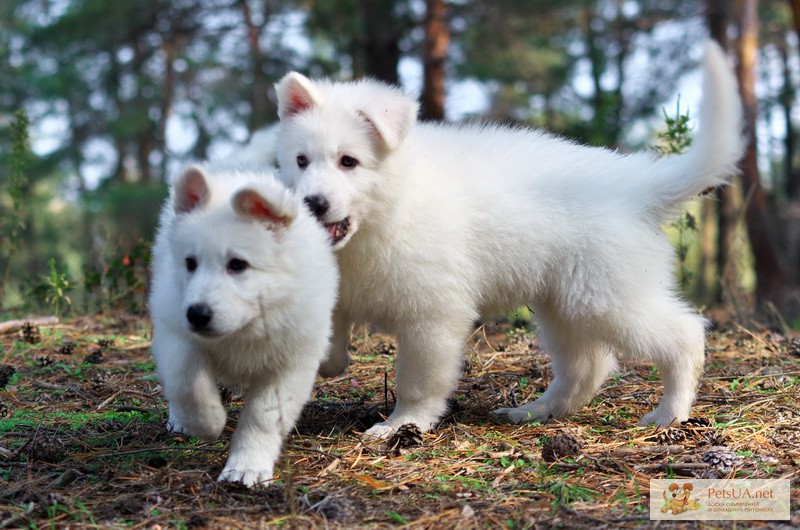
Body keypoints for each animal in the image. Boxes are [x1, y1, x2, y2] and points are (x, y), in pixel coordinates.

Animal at [150, 163, 338, 484]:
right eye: (190, 263)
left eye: (237, 265)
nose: (197, 315)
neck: (245, 327)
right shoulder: (174, 329)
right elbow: (186, 382)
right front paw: (209, 422)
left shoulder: (291, 361)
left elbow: (263, 416)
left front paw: (246, 466)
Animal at [274, 41, 744, 436]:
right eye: (300, 161)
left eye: (348, 161)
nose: (313, 204)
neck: (391, 206)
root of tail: (637, 184)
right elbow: (329, 326)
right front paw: (330, 362)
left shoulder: (433, 315)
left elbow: (418, 381)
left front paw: (401, 425)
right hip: (564, 304)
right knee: (586, 367)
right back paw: (535, 412)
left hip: (608, 297)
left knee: (685, 334)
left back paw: (670, 414)